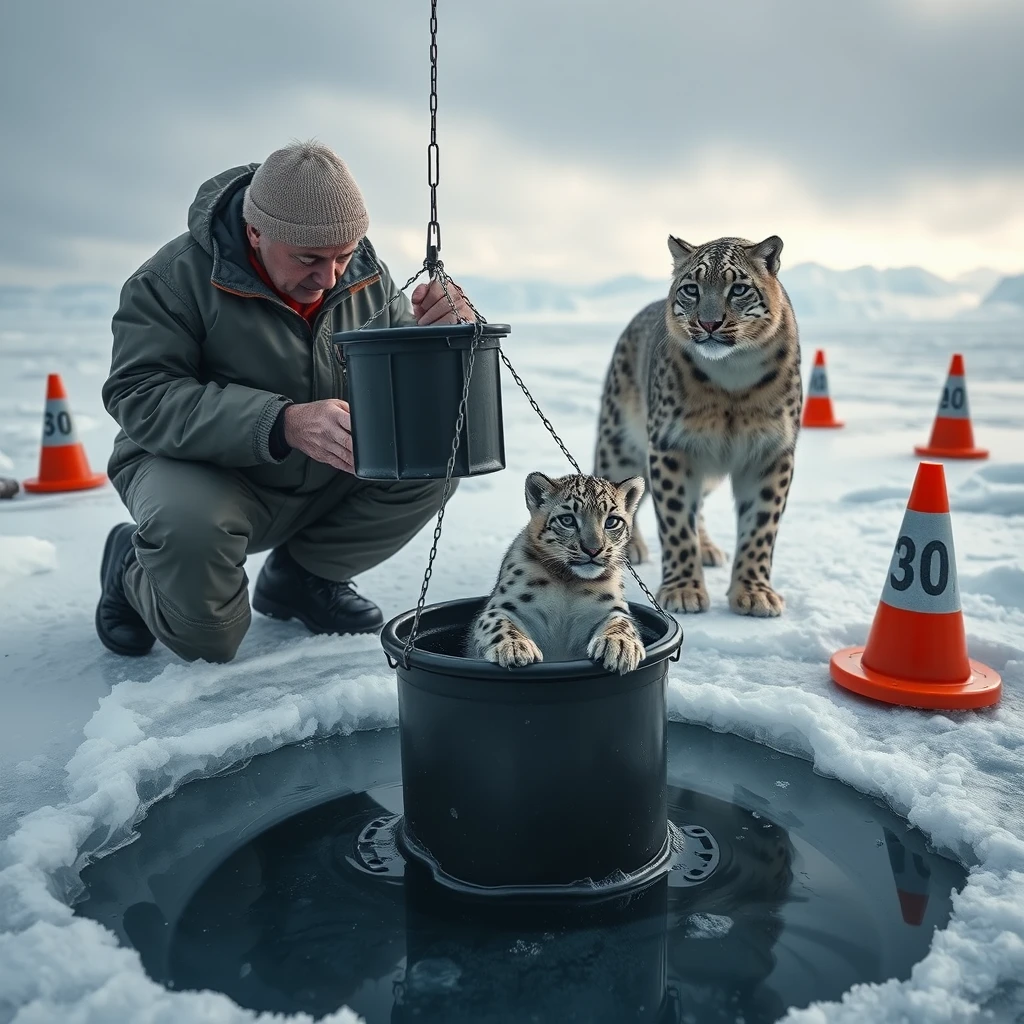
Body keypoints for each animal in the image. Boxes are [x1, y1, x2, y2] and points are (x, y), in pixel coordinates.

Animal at [466, 472, 647, 673]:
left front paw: (620, 646)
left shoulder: (609, 607)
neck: (568, 581)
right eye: (567, 520)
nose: (593, 550)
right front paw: (515, 647)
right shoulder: (505, 605)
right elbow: (498, 623)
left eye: (612, 521)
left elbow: (621, 622)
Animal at [594, 235, 802, 617]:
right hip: (620, 444)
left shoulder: (771, 451)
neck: (732, 382)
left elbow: (761, 524)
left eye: (738, 288)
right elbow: (676, 521)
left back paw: (708, 549)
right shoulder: (671, 445)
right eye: (691, 288)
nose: (709, 324)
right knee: (619, 490)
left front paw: (755, 593)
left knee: (699, 505)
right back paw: (628, 548)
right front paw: (683, 591)